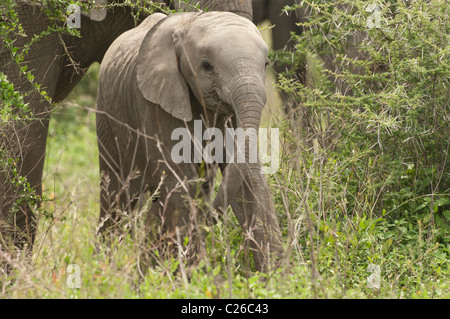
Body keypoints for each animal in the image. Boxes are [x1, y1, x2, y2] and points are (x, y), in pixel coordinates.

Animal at [96, 11, 284, 272]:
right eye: (206, 66)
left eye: (266, 64)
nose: (210, 216)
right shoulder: (155, 103)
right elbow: (180, 183)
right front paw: (200, 275)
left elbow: (250, 179)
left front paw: (280, 275)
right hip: (107, 119)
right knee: (116, 201)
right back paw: (104, 268)